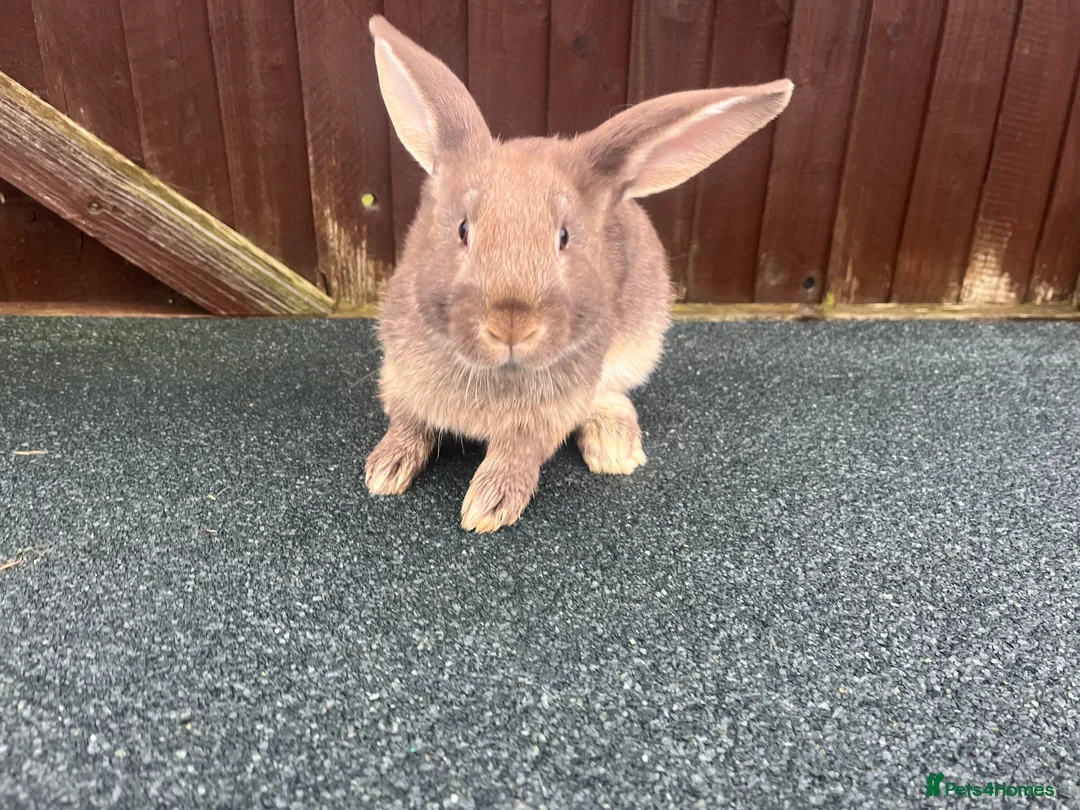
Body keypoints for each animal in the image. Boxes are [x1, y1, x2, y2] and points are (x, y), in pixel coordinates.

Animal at [363, 15, 793, 533]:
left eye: (565, 237)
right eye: (463, 229)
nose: (512, 325)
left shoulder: (546, 417)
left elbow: (517, 452)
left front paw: (489, 506)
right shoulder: (399, 380)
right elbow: (408, 423)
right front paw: (385, 470)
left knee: (612, 395)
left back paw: (615, 449)